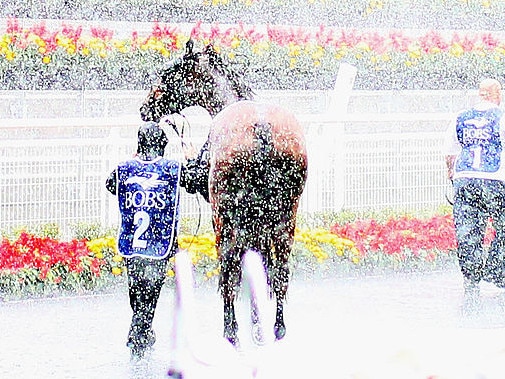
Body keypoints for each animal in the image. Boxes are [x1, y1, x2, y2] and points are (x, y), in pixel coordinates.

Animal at [139, 40, 308, 346]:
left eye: (167, 74)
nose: (145, 108)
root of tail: (261, 128)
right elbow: (260, 265)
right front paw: (258, 323)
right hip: (285, 217)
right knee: (279, 272)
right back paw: (277, 328)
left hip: (226, 217)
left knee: (229, 271)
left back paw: (231, 331)